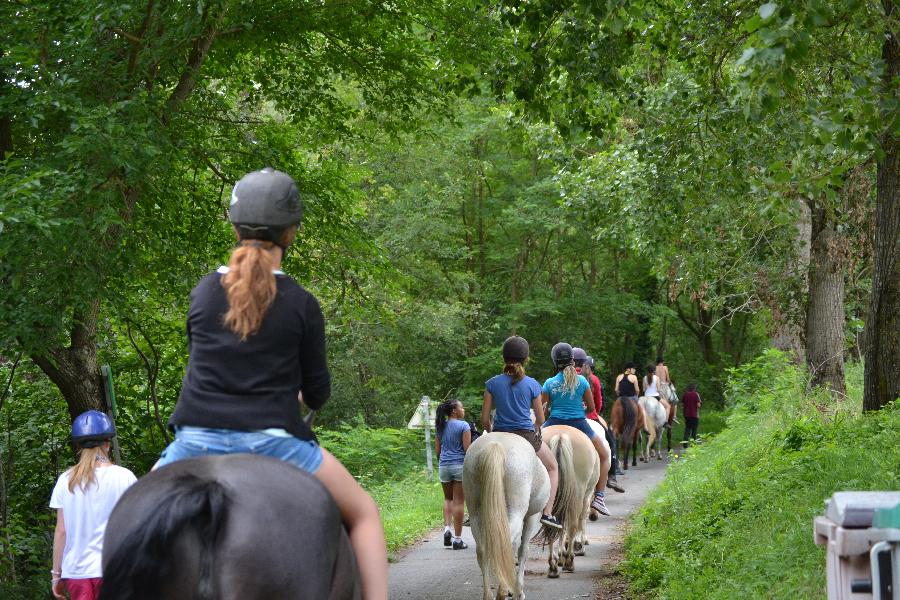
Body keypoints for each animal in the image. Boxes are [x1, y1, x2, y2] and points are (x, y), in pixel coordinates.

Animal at [464, 432, 548, 600]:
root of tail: (495, 444)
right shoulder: (532, 517)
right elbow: (523, 550)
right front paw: (518, 591)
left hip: (475, 513)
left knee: (483, 550)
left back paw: (489, 595)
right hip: (516, 511)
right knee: (505, 545)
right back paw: (503, 592)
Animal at [536, 424, 600, 576]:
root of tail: (561, 436)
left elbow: (561, 525)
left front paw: (560, 556)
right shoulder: (585, 497)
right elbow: (581, 520)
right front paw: (578, 547)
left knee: (550, 523)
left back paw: (553, 566)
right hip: (578, 493)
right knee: (573, 524)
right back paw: (570, 562)